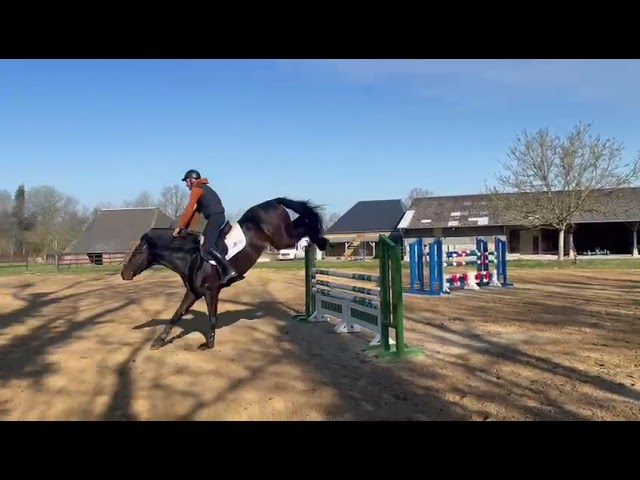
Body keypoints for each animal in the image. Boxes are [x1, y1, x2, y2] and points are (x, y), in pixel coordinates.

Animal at [120, 196, 329, 351]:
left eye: (137, 253)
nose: (124, 274)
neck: (192, 258)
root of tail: (272, 201)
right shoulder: (193, 293)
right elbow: (176, 314)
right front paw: (158, 341)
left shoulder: (211, 291)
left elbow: (212, 317)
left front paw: (208, 343)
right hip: (283, 234)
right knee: (302, 221)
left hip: (281, 238)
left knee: (303, 227)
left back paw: (322, 242)